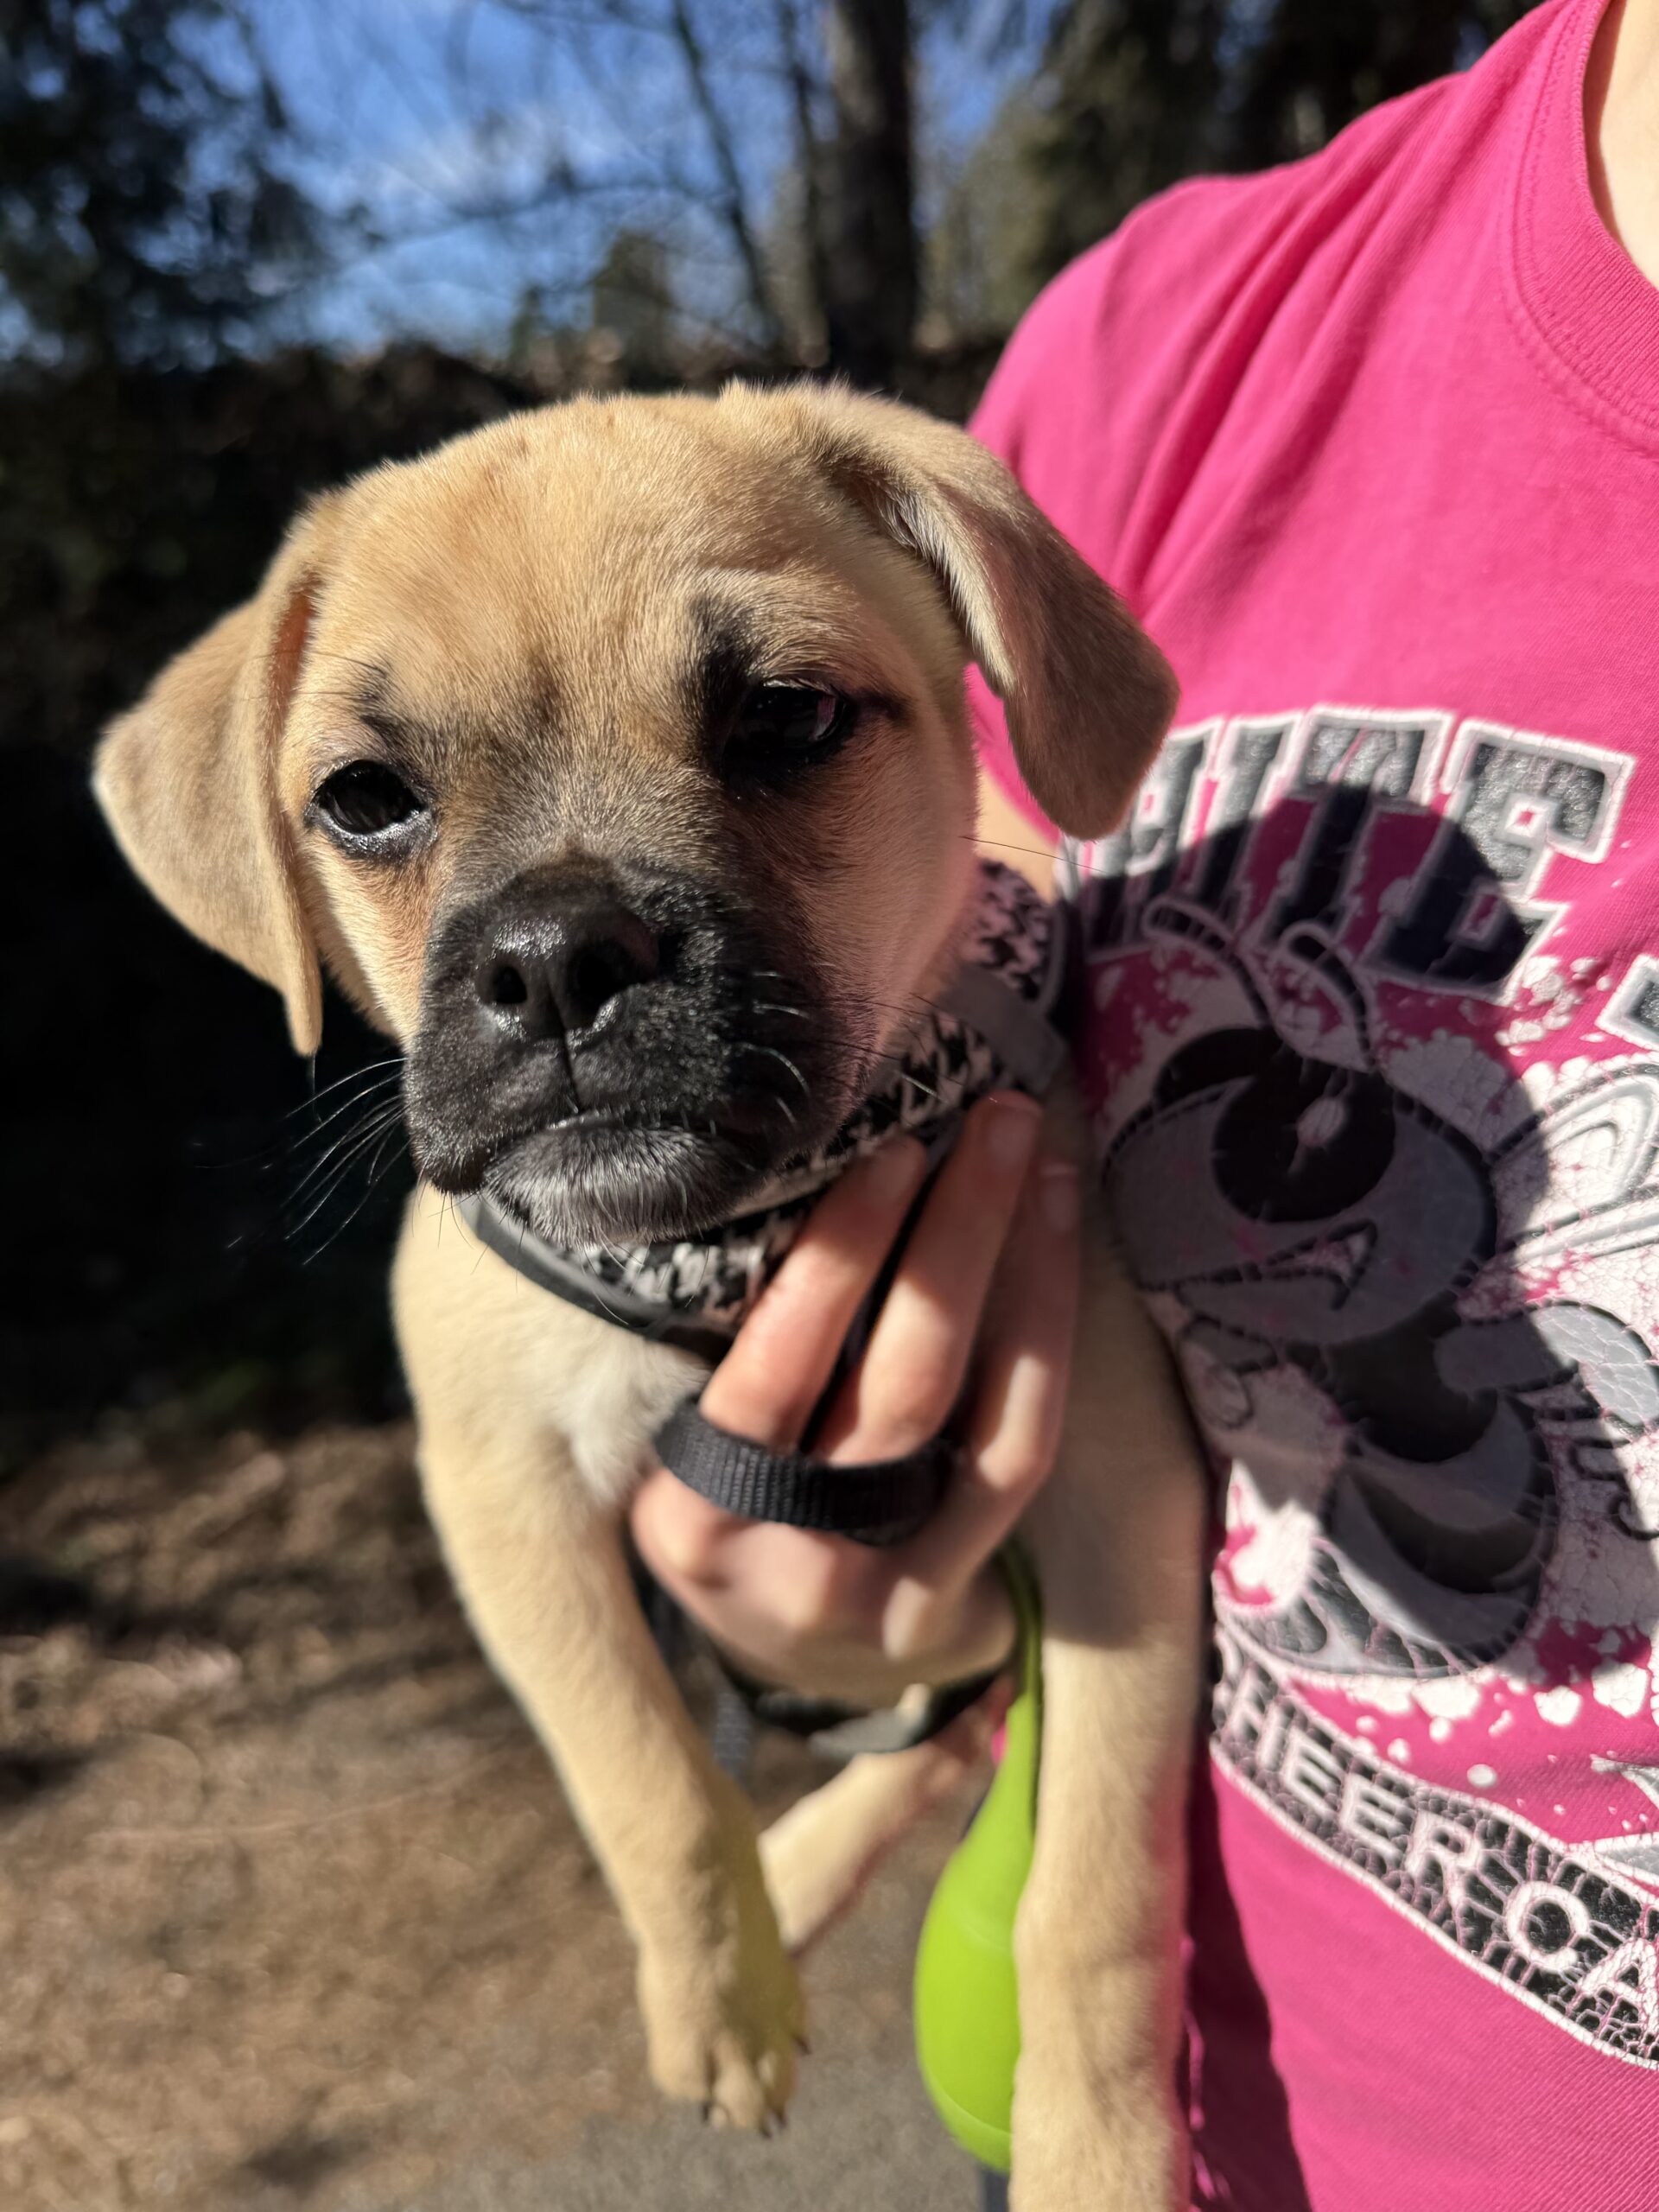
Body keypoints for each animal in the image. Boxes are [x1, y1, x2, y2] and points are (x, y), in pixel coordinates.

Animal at [94, 384, 1208, 2209]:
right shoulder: (504, 1499)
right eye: (363, 798)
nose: (555, 957)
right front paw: (721, 2003)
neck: (728, 1238)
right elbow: (645, 1779)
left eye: (789, 718)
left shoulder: (1120, 1508)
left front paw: (1097, 2146)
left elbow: (1094, 1891)